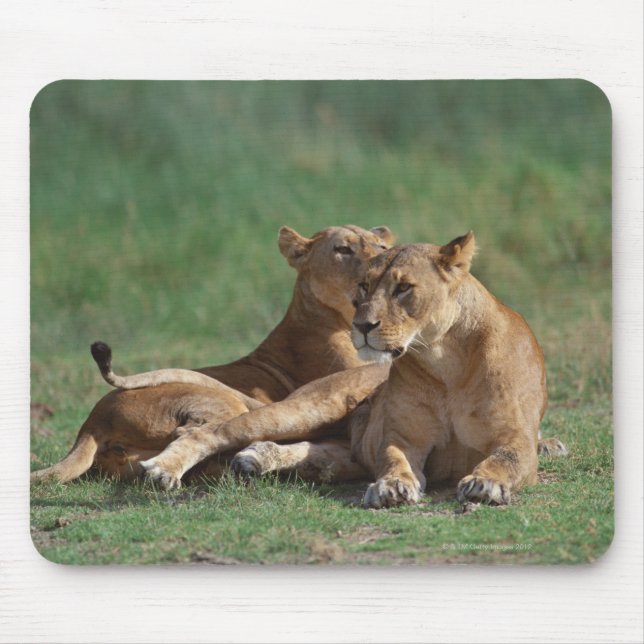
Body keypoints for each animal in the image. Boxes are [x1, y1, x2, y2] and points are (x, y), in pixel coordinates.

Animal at [30, 224, 394, 483]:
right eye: (343, 249)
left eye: (382, 248)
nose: (381, 264)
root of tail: (92, 422)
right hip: (222, 403)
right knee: (196, 433)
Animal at [140, 232, 566, 503]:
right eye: (364, 286)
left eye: (403, 288)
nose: (361, 325)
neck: (445, 360)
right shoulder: (404, 438)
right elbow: (394, 459)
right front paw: (392, 487)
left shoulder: (515, 437)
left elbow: (505, 459)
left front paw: (484, 483)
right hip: (309, 408)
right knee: (212, 431)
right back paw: (163, 469)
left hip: (343, 446)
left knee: (319, 453)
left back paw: (256, 458)